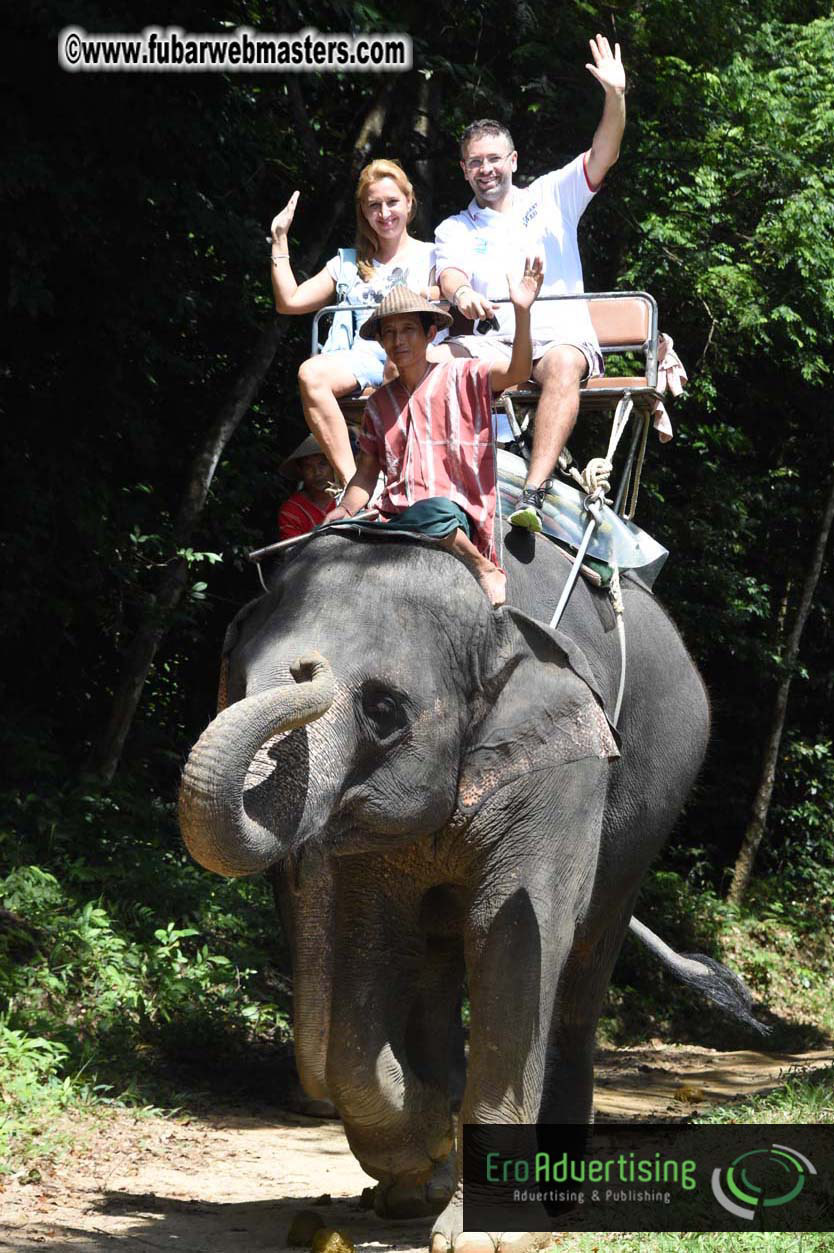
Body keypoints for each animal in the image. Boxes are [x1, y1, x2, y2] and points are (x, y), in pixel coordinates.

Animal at [179, 522, 713, 1253]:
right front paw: (425, 1146)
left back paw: (561, 1198)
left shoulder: (563, 767)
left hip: (648, 821)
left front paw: (487, 1232)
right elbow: (375, 940)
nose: (307, 669)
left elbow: (512, 936)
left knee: (582, 971)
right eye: (235, 681)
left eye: (383, 710)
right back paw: (419, 1182)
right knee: (435, 957)